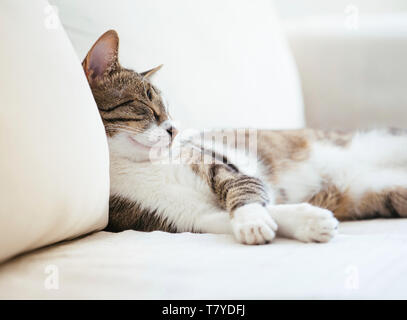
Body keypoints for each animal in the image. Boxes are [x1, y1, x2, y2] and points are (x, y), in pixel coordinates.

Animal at [82, 30, 407, 245]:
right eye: (146, 106)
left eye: (168, 111)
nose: (175, 130)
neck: (138, 167)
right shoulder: (176, 216)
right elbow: (231, 215)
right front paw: (304, 221)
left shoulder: (221, 165)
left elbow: (245, 189)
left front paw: (256, 218)